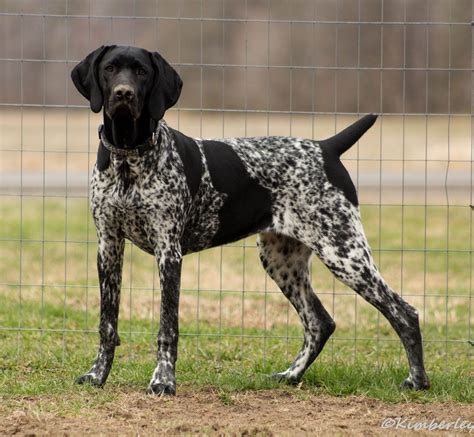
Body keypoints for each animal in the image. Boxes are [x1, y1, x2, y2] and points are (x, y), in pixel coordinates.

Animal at [70, 46, 430, 394]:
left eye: (142, 71)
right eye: (109, 69)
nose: (123, 93)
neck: (128, 157)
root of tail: (326, 147)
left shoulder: (168, 253)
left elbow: (167, 327)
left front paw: (163, 381)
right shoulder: (108, 246)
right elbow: (107, 324)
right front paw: (97, 375)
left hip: (344, 253)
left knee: (404, 313)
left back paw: (417, 381)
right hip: (282, 261)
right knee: (320, 322)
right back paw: (291, 375)